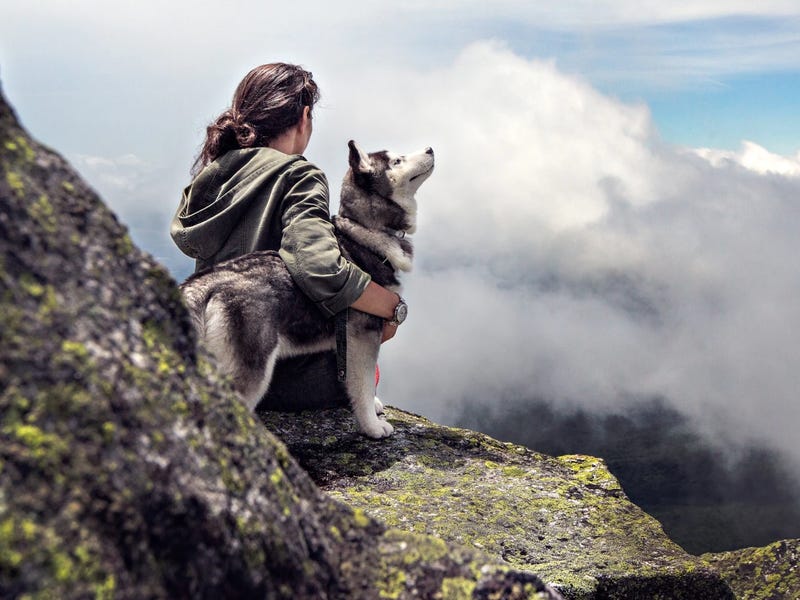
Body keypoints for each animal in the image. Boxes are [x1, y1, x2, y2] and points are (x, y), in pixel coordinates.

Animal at [179, 143, 434, 438]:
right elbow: (363, 384)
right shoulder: (363, 336)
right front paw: (371, 426)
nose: (430, 149)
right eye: (396, 161)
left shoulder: (347, 343)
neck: (364, 231)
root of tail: (204, 282)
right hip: (252, 368)